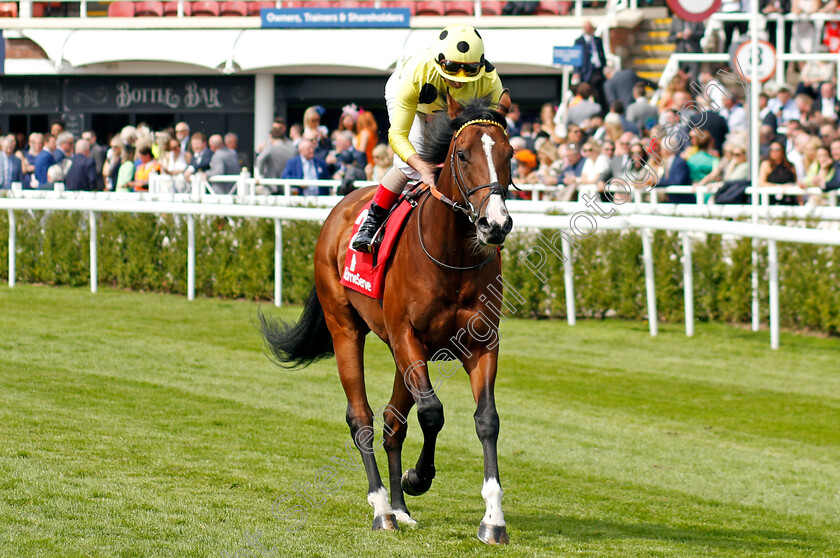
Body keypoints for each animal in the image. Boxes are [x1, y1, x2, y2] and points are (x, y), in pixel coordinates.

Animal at [260, 96, 516, 548]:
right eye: (463, 154)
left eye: (510, 154)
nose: (495, 224)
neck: (452, 256)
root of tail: (339, 210)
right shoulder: (405, 335)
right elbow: (432, 413)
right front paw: (419, 477)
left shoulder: (482, 342)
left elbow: (486, 420)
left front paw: (493, 519)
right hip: (346, 327)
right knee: (361, 417)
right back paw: (382, 507)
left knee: (393, 422)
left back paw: (399, 507)